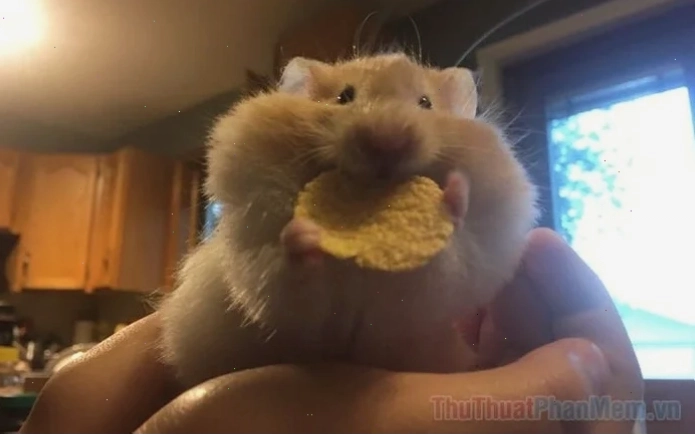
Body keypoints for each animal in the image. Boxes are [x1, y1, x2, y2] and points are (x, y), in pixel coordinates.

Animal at [157, 52, 539, 388]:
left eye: (425, 103)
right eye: (344, 96)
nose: (387, 142)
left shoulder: (416, 306)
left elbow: (442, 264)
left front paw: (455, 193)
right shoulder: (267, 276)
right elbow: (288, 282)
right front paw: (303, 234)